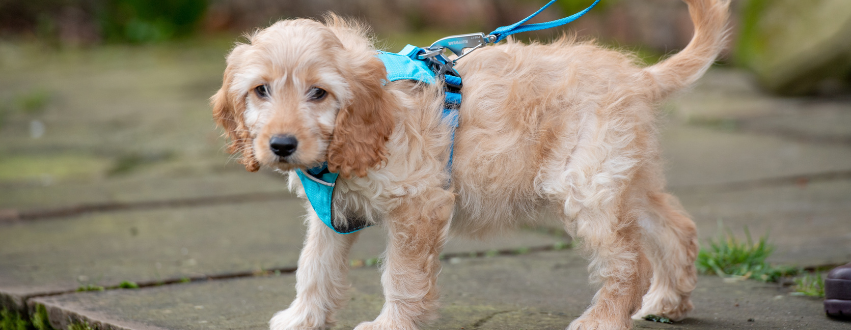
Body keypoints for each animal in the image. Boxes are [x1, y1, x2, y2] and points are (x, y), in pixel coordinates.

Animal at [213, 0, 732, 328]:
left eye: (318, 93)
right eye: (261, 90)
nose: (281, 144)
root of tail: (638, 76)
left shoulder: (419, 206)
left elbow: (402, 276)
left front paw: (392, 324)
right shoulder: (332, 211)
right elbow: (314, 267)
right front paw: (302, 319)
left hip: (587, 186)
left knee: (627, 260)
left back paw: (604, 320)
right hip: (621, 178)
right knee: (675, 227)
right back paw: (667, 302)